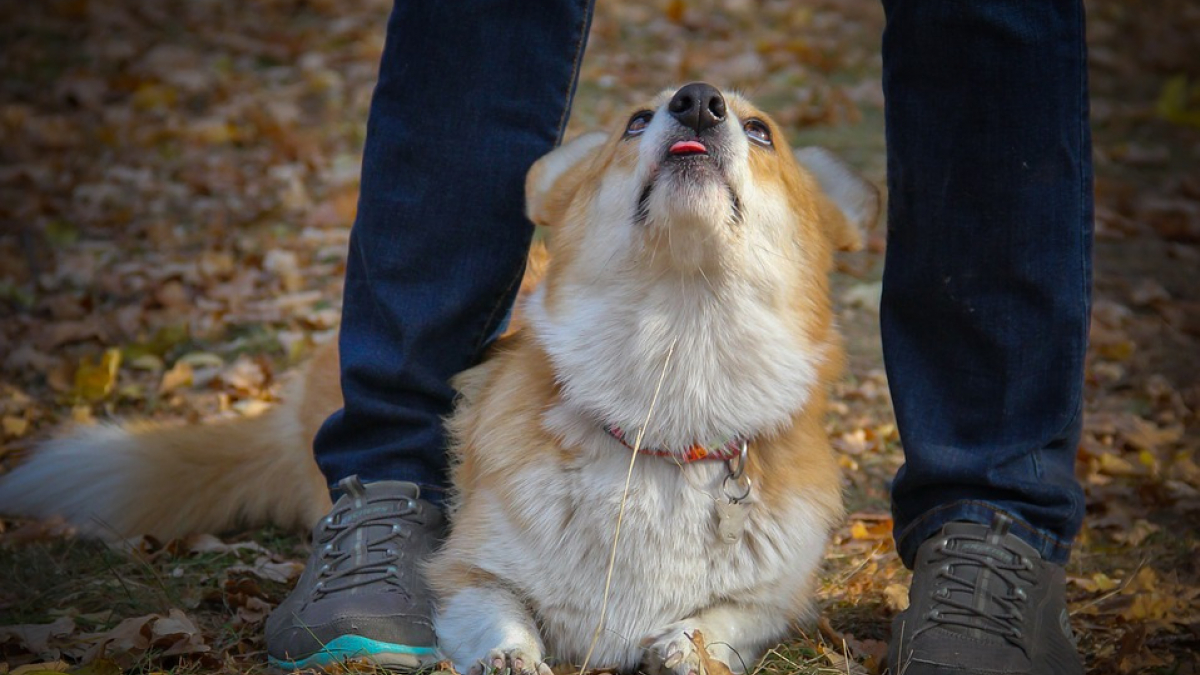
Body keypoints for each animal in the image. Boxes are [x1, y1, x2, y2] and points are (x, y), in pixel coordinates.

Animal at [0, 82, 883, 672]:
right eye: (637, 120)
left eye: (762, 131)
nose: (699, 102)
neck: (672, 374)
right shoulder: (463, 573)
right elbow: (496, 608)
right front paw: (509, 654)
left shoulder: (775, 599)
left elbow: (726, 616)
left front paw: (688, 643)